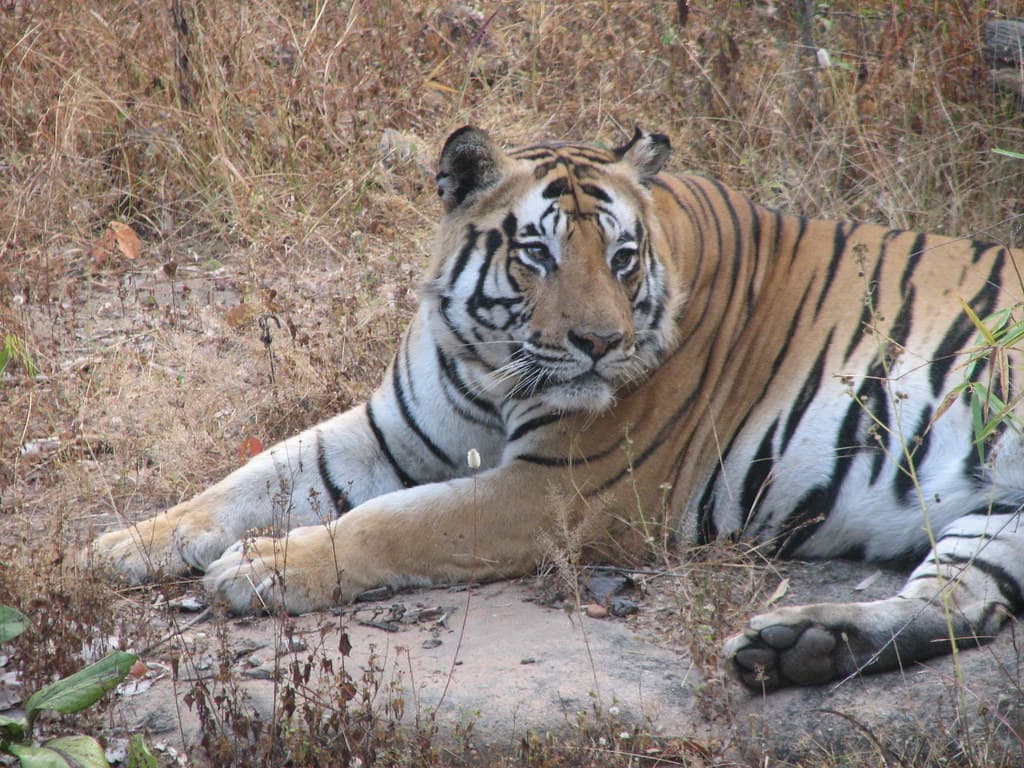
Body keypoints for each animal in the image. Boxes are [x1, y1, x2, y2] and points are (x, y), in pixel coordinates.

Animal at [88, 125, 1024, 692]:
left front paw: (263, 568)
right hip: (998, 518)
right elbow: (257, 472)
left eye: (621, 257)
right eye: (536, 254)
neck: (490, 365)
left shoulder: (557, 492)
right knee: (964, 604)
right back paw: (800, 649)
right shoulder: (391, 432)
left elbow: (392, 522)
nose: (601, 343)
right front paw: (123, 545)